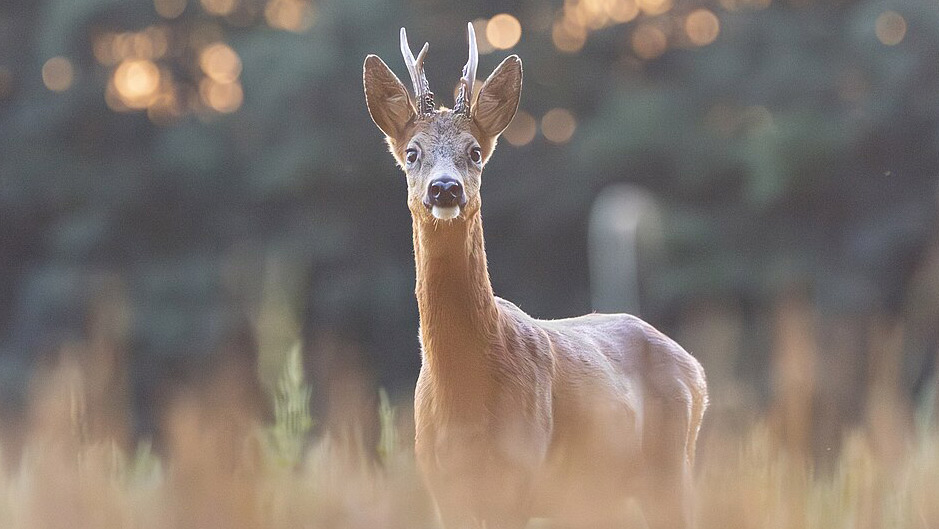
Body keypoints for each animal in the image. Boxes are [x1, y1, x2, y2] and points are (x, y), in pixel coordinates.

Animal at [364, 22, 708, 524]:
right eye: (412, 152)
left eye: (474, 152)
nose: (445, 188)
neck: (465, 391)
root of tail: (697, 371)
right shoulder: (443, 486)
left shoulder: (519, 475)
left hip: (673, 464)